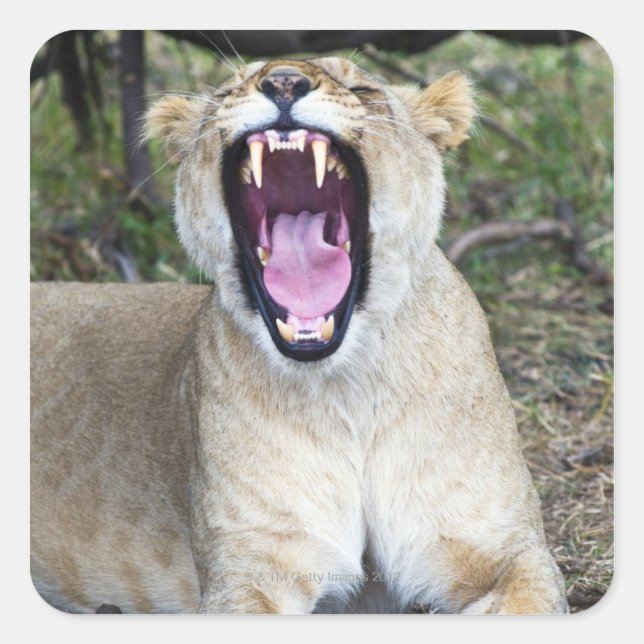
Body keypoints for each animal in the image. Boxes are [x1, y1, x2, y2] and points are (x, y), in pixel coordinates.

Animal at [30, 57, 569, 614]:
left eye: (362, 87)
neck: (348, 387)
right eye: (225, 92)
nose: (284, 80)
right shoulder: (250, 569)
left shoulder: (504, 547)